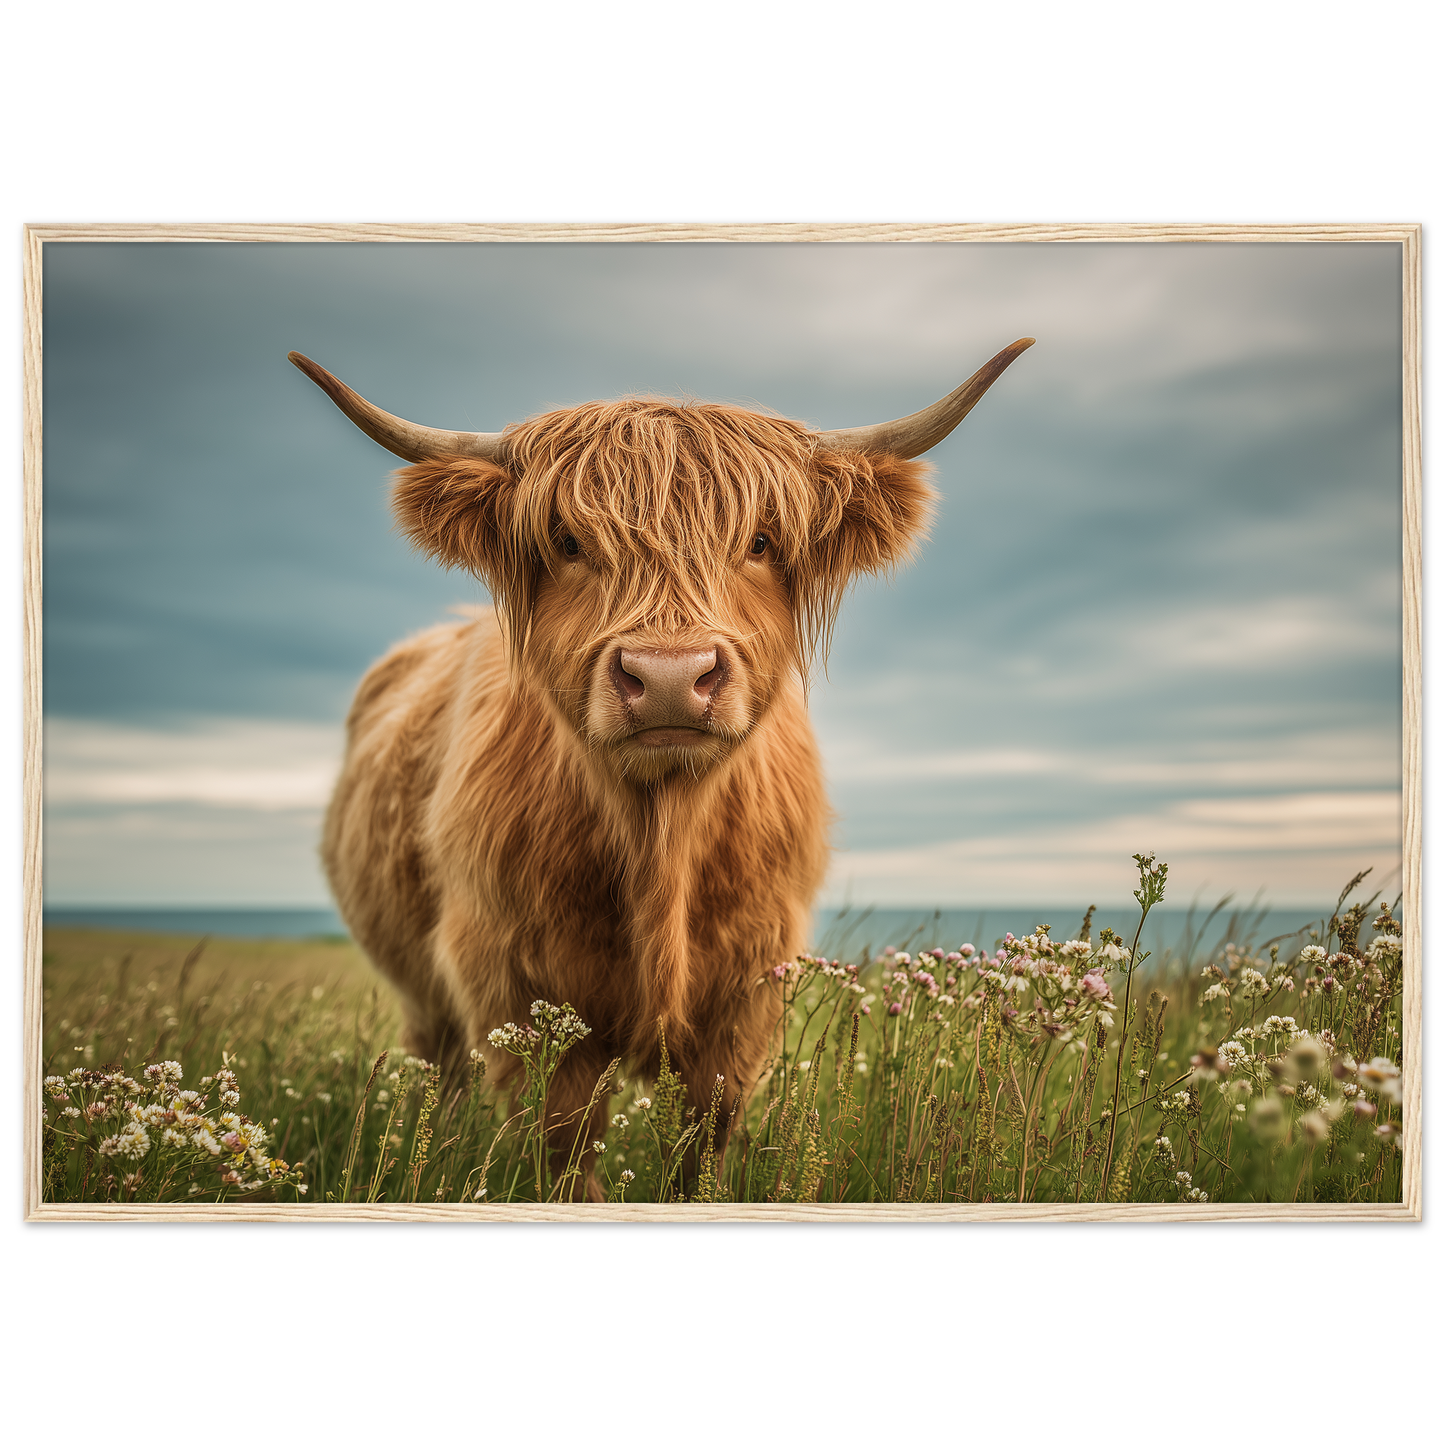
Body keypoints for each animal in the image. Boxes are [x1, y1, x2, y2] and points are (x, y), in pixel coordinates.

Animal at [291, 338, 1033, 1198]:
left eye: (759, 542)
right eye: (568, 542)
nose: (671, 676)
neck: (661, 833)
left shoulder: (745, 993)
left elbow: (704, 1137)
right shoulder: (514, 985)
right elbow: (564, 1145)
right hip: (424, 996)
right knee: (438, 1071)